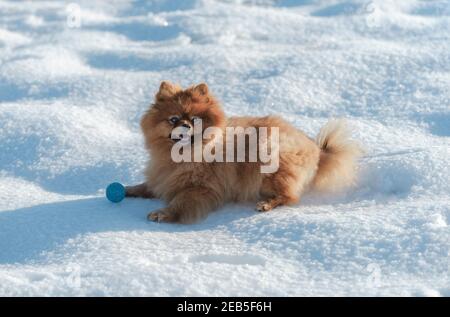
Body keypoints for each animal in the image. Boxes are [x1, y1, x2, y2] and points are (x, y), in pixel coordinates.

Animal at [125, 81, 362, 225]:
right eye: (173, 119)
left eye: (194, 120)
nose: (184, 125)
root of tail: (317, 150)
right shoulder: (163, 177)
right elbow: (145, 186)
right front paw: (127, 190)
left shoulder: (201, 188)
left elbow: (180, 203)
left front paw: (163, 213)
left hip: (270, 160)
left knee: (289, 196)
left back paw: (266, 204)